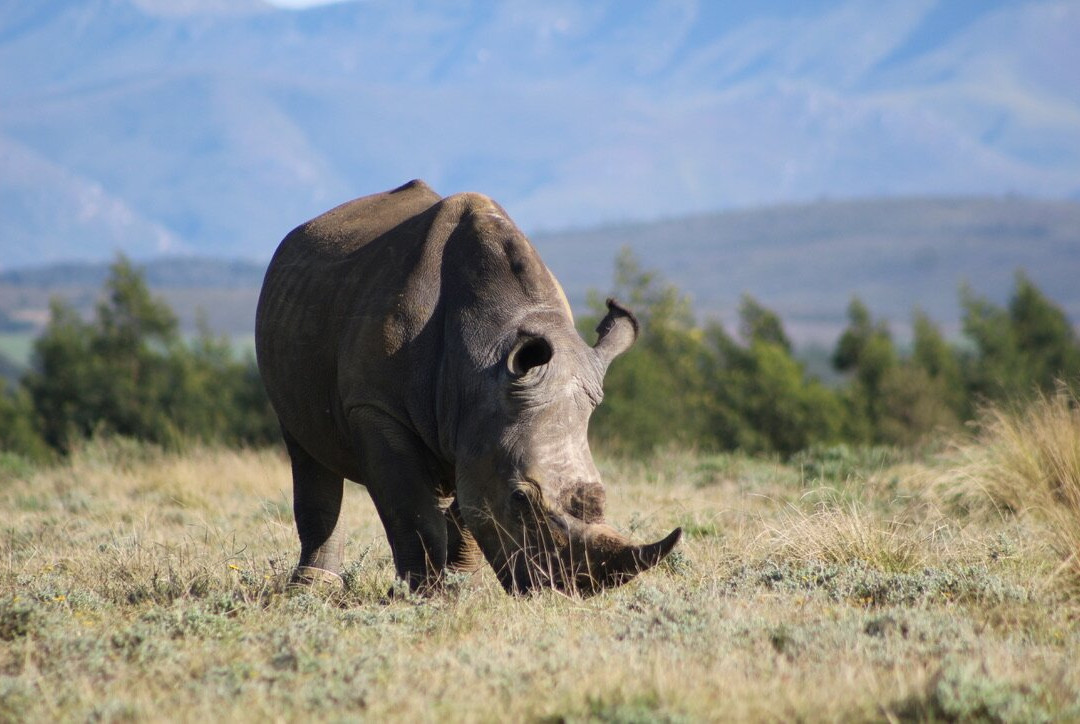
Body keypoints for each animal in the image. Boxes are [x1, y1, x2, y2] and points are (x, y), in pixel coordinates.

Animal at [255, 181, 678, 596]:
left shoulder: (484, 421)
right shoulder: (375, 407)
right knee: (306, 449)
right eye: (520, 499)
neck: (481, 361)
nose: (563, 591)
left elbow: (470, 506)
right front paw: (421, 595)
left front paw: (461, 591)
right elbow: (410, 510)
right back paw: (310, 590)